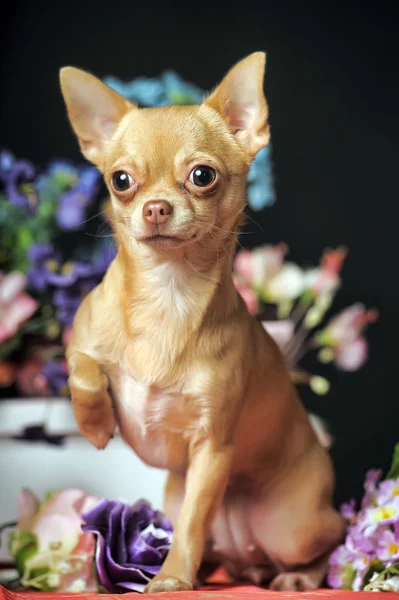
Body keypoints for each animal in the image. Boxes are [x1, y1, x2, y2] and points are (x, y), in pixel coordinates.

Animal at [61, 54, 346, 592]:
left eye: (201, 175)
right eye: (120, 181)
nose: (155, 207)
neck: (167, 296)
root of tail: (248, 559)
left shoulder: (212, 449)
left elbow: (195, 520)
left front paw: (173, 579)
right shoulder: (81, 343)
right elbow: (82, 370)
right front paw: (95, 423)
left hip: (291, 525)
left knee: (333, 535)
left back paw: (297, 578)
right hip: (180, 500)